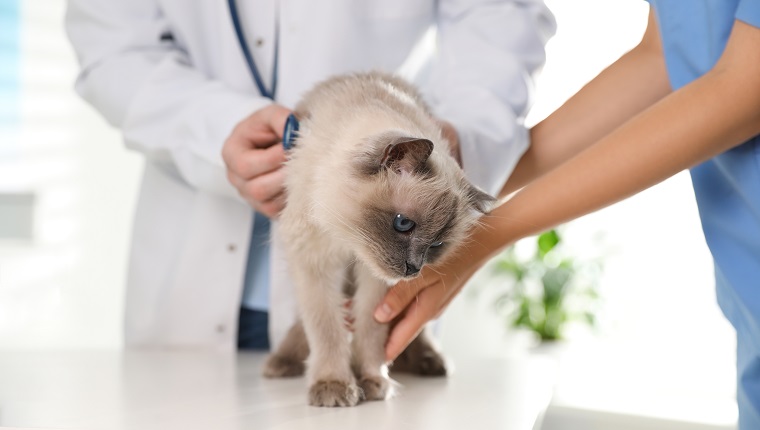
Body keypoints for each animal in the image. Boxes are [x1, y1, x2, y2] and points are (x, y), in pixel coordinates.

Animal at [264, 71, 496, 406]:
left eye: (436, 246)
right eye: (403, 224)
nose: (413, 268)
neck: (349, 241)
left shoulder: (378, 281)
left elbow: (371, 331)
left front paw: (372, 381)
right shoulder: (315, 262)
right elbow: (325, 328)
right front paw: (334, 385)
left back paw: (429, 362)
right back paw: (281, 363)